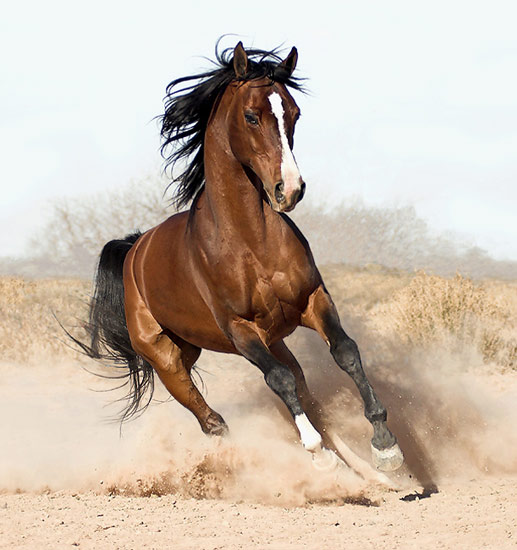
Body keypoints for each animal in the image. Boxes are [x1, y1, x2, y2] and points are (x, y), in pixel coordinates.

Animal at [81, 42, 404, 474]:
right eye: (252, 116)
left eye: (294, 113)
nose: (290, 189)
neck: (251, 242)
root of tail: (135, 249)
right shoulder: (239, 329)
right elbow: (279, 381)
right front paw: (318, 453)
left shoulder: (313, 300)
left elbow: (345, 352)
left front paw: (385, 446)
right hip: (167, 358)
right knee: (212, 419)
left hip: (258, 339)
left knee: (299, 385)